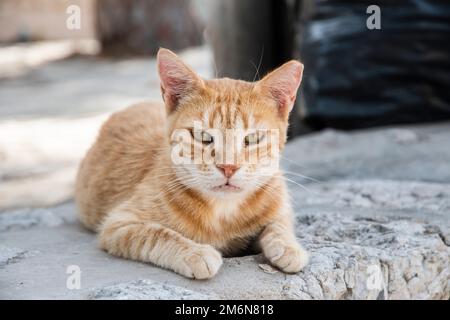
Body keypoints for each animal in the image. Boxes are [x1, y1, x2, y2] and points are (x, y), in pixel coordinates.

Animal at [76, 48, 310, 280]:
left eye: (252, 139)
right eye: (202, 136)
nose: (228, 167)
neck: (223, 210)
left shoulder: (279, 203)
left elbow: (279, 224)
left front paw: (289, 246)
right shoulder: (119, 224)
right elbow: (157, 234)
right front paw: (195, 253)